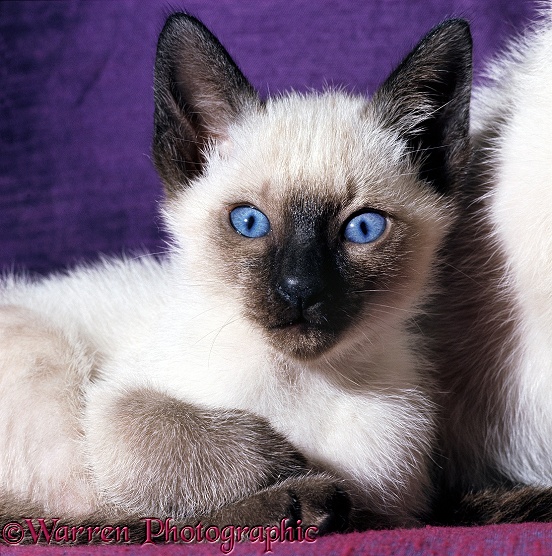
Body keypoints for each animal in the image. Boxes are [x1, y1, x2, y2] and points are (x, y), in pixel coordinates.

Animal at [0, 15, 472, 532]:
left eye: (363, 228)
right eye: (249, 222)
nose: (299, 289)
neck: (295, 382)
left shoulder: (398, 499)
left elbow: (374, 507)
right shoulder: (111, 406)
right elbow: (164, 440)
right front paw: (290, 466)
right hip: (44, 353)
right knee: (98, 513)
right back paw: (303, 499)